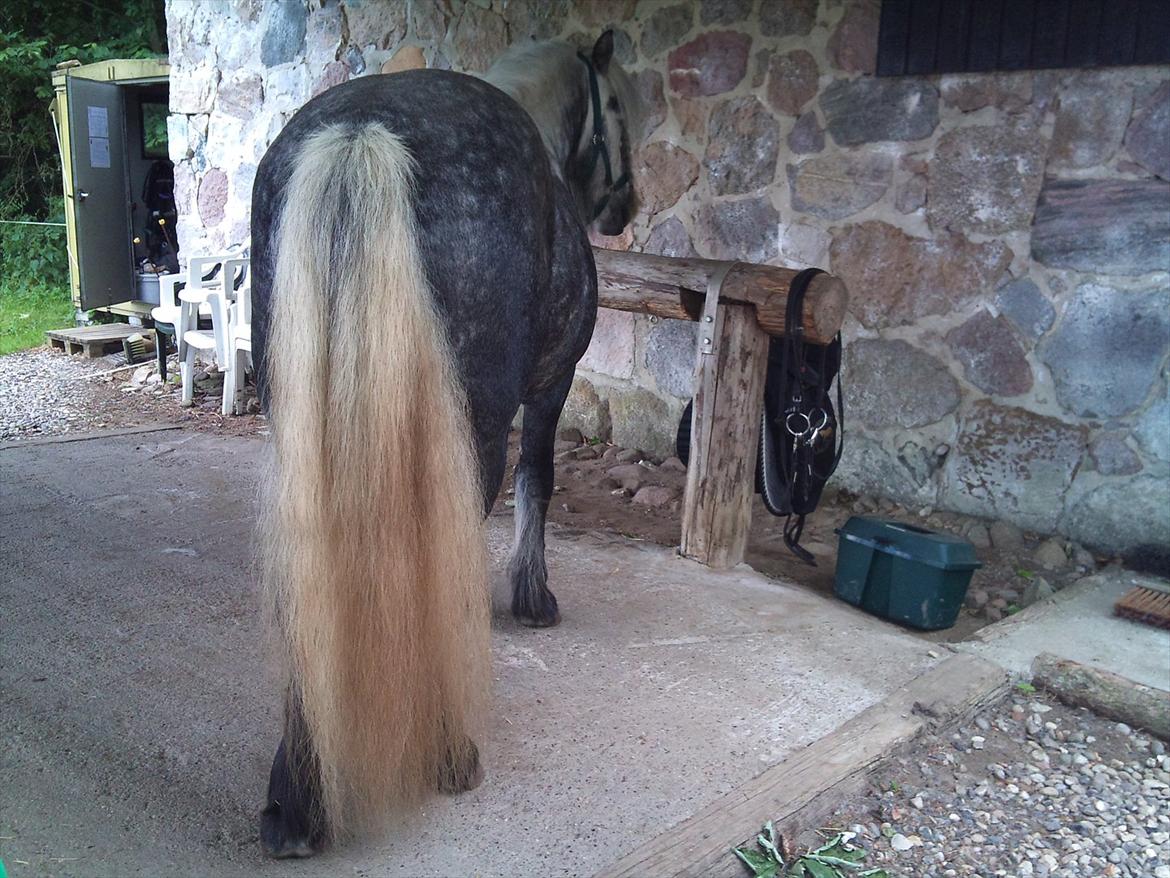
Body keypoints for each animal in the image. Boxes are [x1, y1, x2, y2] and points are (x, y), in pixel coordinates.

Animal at [248, 32, 639, 857]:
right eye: (617, 104)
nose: (627, 204)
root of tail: (361, 135)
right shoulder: (552, 385)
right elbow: (539, 480)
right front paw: (532, 597)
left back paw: (299, 799)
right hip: (472, 431)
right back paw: (445, 751)